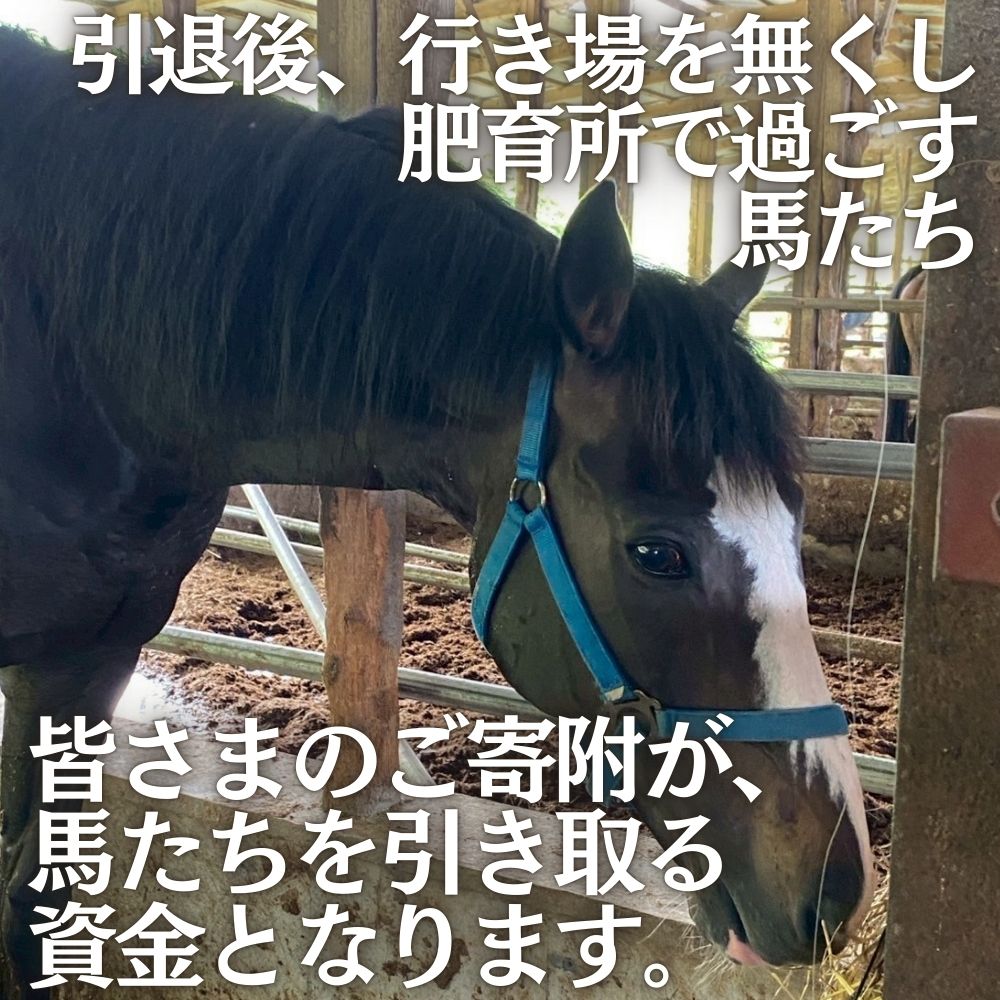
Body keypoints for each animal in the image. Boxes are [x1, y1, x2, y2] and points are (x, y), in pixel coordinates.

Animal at [0, 28, 873, 996]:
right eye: (658, 555)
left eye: (793, 520)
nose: (836, 895)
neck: (72, 365)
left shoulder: (85, 660)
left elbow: (29, 906)